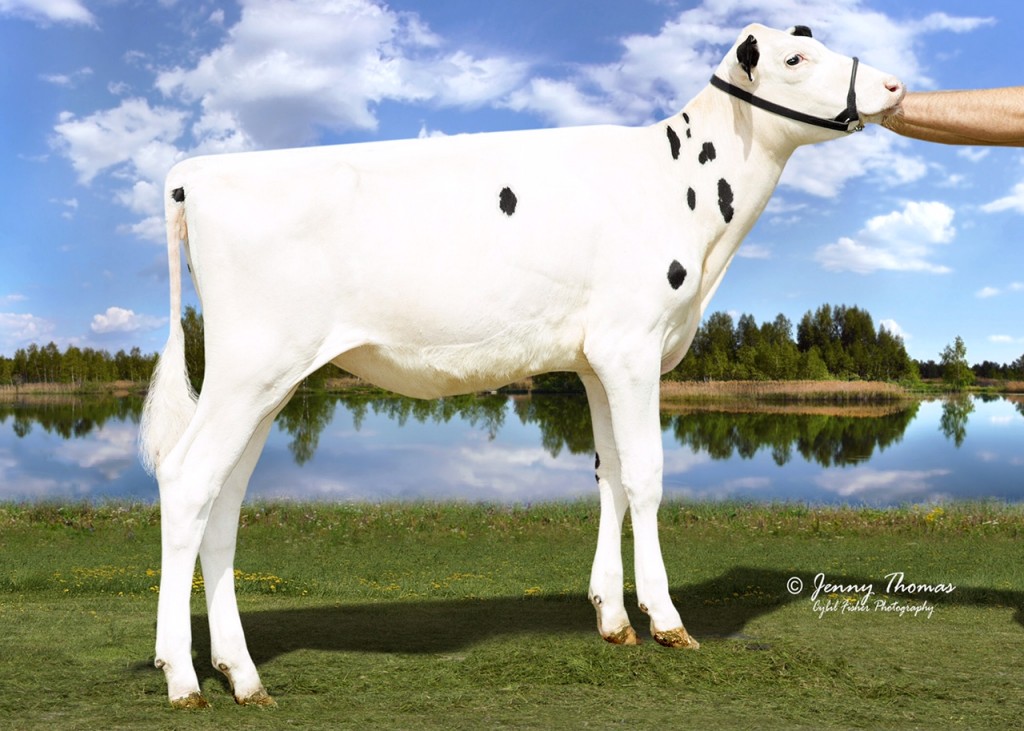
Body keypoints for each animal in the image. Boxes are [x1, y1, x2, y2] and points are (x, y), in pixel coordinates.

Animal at [140, 23, 904, 708]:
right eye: (795, 57)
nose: (894, 86)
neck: (682, 188)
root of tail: (193, 175)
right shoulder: (633, 346)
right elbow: (648, 475)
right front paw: (666, 620)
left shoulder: (596, 360)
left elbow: (610, 474)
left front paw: (612, 618)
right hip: (251, 367)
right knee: (186, 479)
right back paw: (183, 678)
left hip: (266, 381)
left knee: (223, 499)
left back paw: (240, 675)